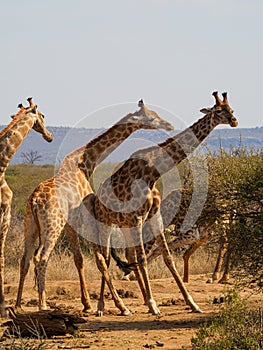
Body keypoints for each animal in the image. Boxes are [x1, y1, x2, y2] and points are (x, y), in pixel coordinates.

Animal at [15, 101, 174, 312]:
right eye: (151, 116)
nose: (168, 126)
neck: (85, 164)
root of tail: (34, 200)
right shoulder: (87, 217)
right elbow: (99, 259)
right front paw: (113, 305)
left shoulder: (71, 223)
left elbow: (79, 259)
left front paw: (87, 303)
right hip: (52, 226)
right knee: (41, 258)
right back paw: (43, 305)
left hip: (30, 225)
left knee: (25, 259)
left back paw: (17, 305)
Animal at [81, 90, 240, 314]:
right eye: (218, 111)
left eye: (231, 109)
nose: (234, 121)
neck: (153, 171)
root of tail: (96, 198)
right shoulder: (138, 218)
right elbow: (143, 258)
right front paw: (153, 304)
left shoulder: (153, 216)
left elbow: (167, 257)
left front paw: (192, 304)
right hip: (106, 222)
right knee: (105, 257)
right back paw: (106, 306)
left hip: (124, 225)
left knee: (125, 256)